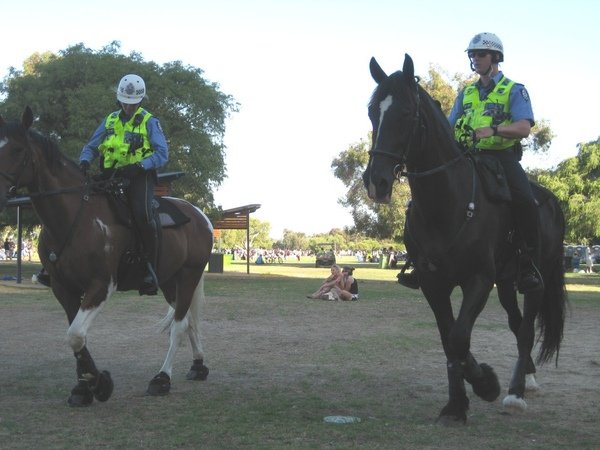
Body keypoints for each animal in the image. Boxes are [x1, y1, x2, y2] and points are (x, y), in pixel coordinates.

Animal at [360, 54, 568, 424]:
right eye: (372, 111)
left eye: (406, 113)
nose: (376, 182)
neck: (448, 202)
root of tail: (550, 200)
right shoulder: (433, 282)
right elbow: (449, 339)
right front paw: (457, 403)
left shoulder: (479, 279)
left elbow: (459, 338)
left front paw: (486, 384)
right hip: (506, 280)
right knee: (516, 324)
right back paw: (526, 378)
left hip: (535, 279)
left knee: (526, 330)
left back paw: (516, 392)